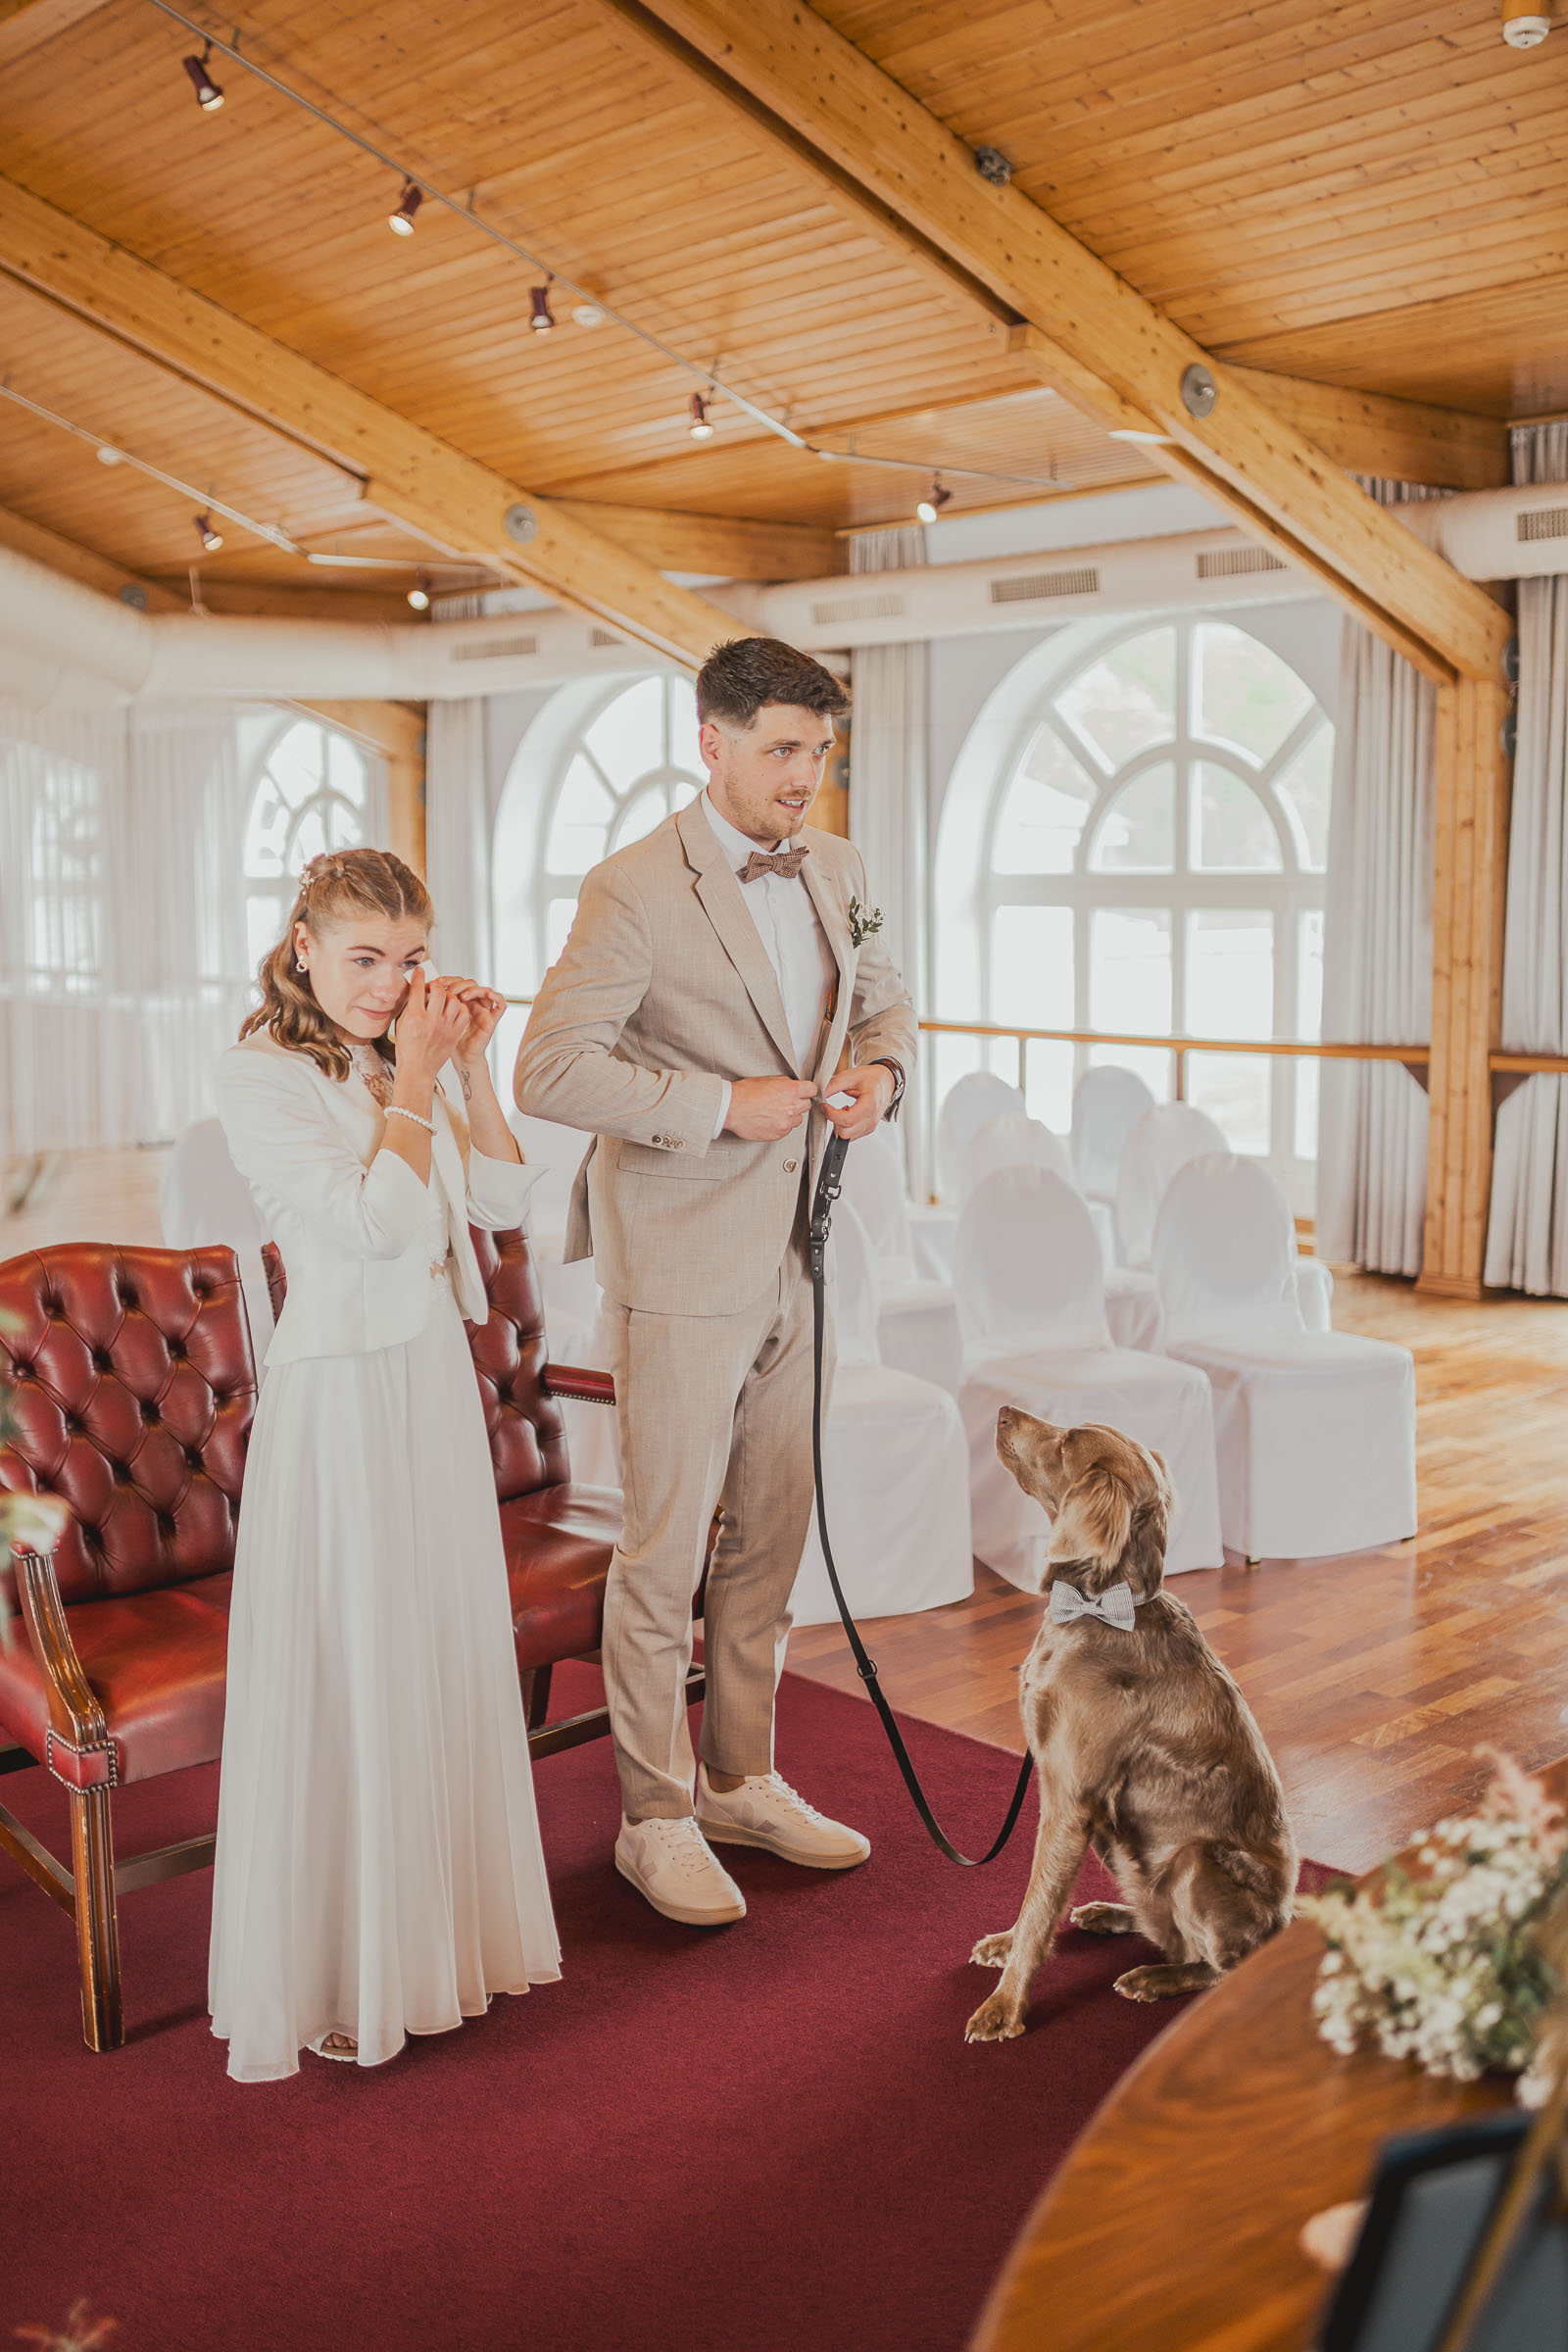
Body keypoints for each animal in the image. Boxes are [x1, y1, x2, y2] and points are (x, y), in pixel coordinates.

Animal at [968, 1411, 1298, 2041]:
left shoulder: (1071, 1801)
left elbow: (1038, 1898)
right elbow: (1036, 1902)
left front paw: (1003, 2007)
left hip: (1195, 1860)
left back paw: (1152, 1979)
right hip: (1117, 1839)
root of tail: (1287, 1924)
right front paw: (1006, 1944)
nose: (1001, 1412)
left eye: (1067, 1441)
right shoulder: (1062, 1797)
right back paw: (1108, 1914)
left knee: (1216, 1968)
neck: (1099, 1610)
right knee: (1164, 1930)